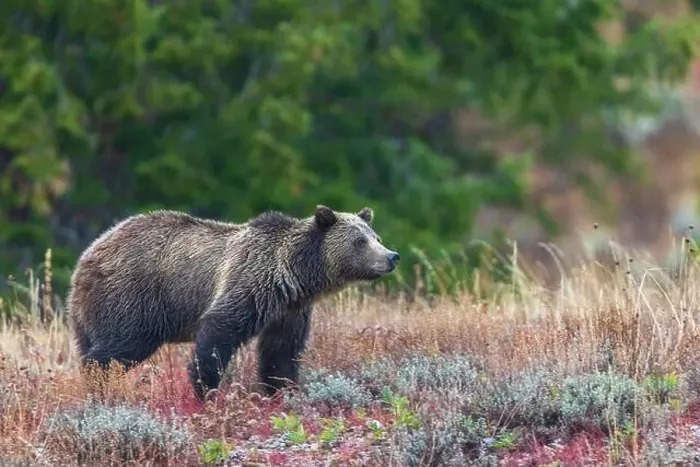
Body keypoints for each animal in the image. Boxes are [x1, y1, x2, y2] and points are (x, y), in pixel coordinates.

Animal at [66, 205, 400, 400]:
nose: (392, 256)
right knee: (121, 345)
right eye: (360, 241)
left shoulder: (289, 310)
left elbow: (281, 350)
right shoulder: (251, 282)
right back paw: (97, 383)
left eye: (377, 237)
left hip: (88, 312)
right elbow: (220, 330)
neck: (294, 275)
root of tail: (88, 256)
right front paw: (206, 388)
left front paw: (283, 389)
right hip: (133, 297)